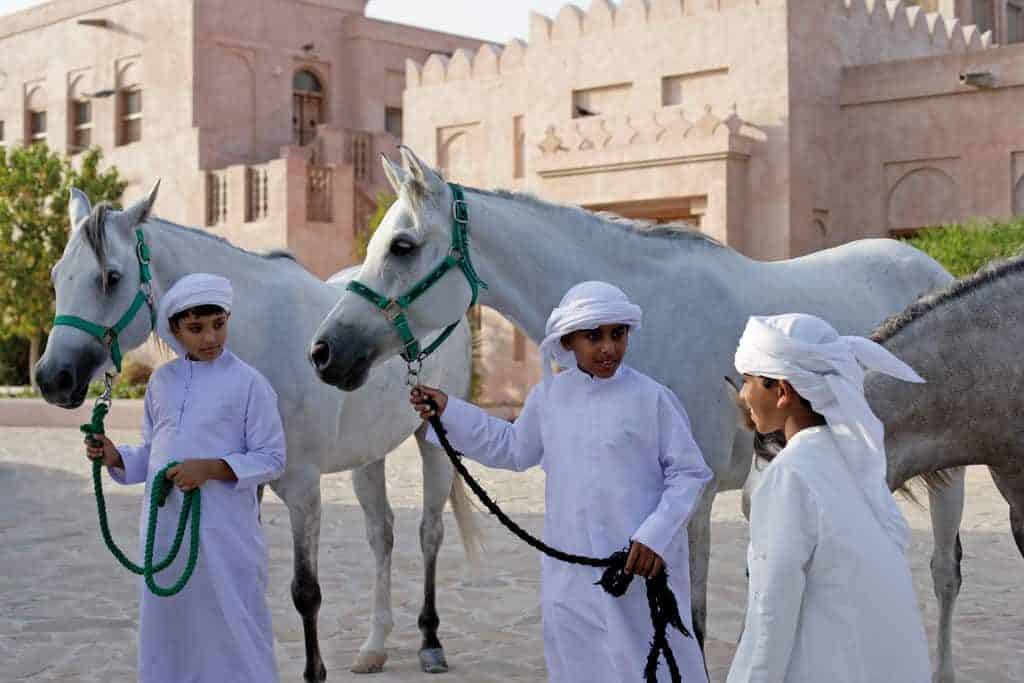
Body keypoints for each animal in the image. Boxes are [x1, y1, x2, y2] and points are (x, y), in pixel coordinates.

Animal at [34, 184, 477, 679]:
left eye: (110, 278)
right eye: (56, 277)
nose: (52, 378)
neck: (258, 339)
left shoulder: (302, 489)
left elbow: (306, 592)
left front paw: (314, 672)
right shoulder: (245, 480)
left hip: (432, 443)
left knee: (429, 533)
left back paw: (430, 641)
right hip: (368, 455)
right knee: (381, 534)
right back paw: (374, 646)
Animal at [307, 147, 962, 675]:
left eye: (403, 246)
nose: (323, 352)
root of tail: (933, 268)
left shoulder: (691, 493)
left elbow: (693, 616)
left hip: (945, 470)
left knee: (944, 572)